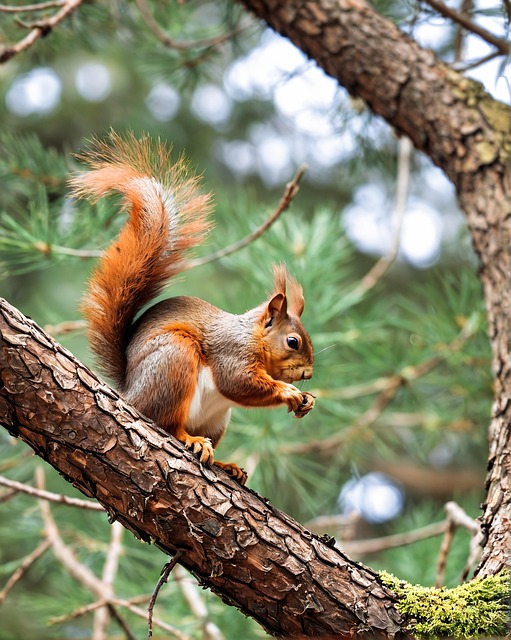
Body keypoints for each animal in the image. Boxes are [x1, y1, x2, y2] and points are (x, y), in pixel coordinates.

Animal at [70, 131, 315, 485]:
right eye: (292, 341)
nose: (308, 374)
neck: (251, 335)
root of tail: (130, 392)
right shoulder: (231, 352)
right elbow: (237, 382)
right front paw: (288, 391)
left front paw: (307, 401)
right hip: (174, 361)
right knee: (167, 424)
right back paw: (190, 440)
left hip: (217, 419)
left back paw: (227, 465)